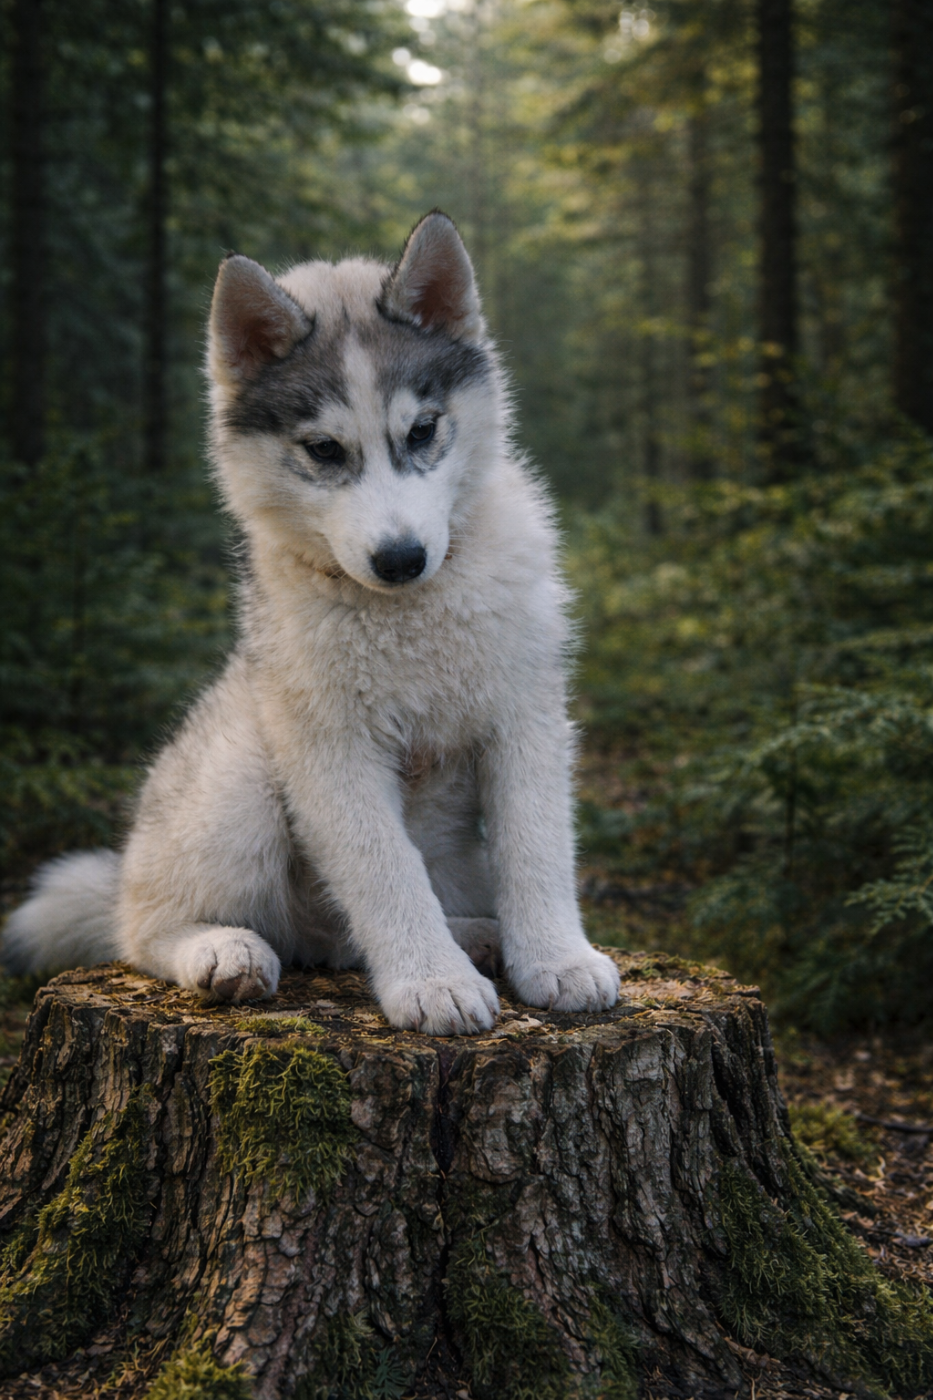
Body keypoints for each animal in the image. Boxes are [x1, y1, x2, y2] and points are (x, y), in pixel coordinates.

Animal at [2, 212, 620, 1035]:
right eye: (324, 450)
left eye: (422, 431)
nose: (401, 558)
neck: (408, 616)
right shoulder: (330, 745)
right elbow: (385, 869)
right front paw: (430, 982)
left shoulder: (525, 717)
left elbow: (536, 846)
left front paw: (556, 959)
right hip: (241, 772)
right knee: (145, 929)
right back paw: (222, 950)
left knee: (339, 935)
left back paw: (473, 935)